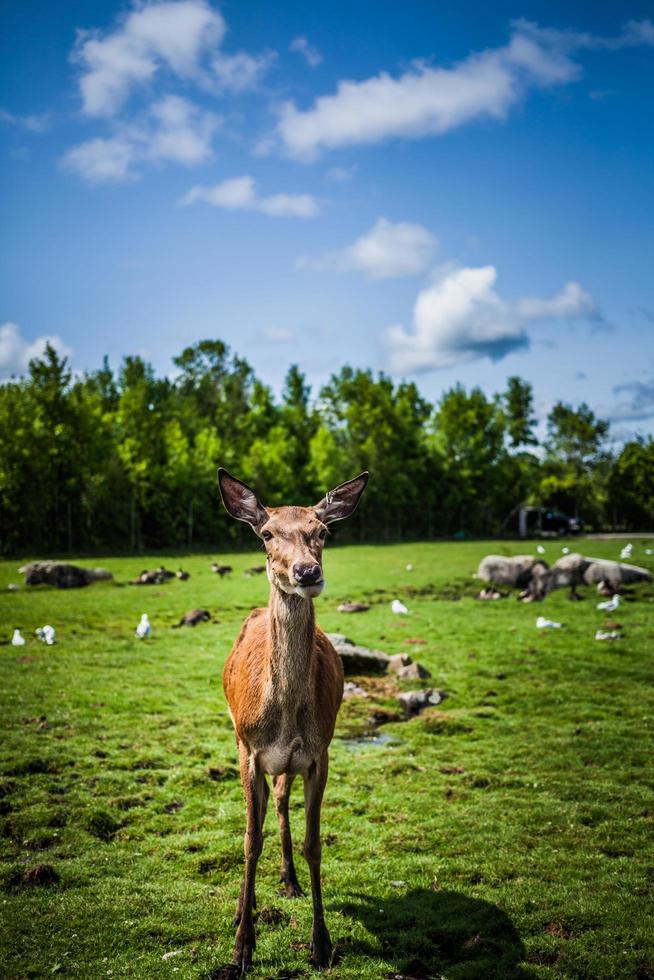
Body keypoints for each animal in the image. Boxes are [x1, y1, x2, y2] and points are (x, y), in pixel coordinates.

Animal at [217, 468, 366, 972]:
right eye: (266, 534)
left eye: (322, 532)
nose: (306, 572)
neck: (283, 717)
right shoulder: (249, 750)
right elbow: (249, 839)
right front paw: (242, 946)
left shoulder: (319, 754)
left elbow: (313, 842)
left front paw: (322, 944)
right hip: (242, 743)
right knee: (264, 813)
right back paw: (246, 907)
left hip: (288, 763)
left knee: (281, 803)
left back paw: (289, 880)